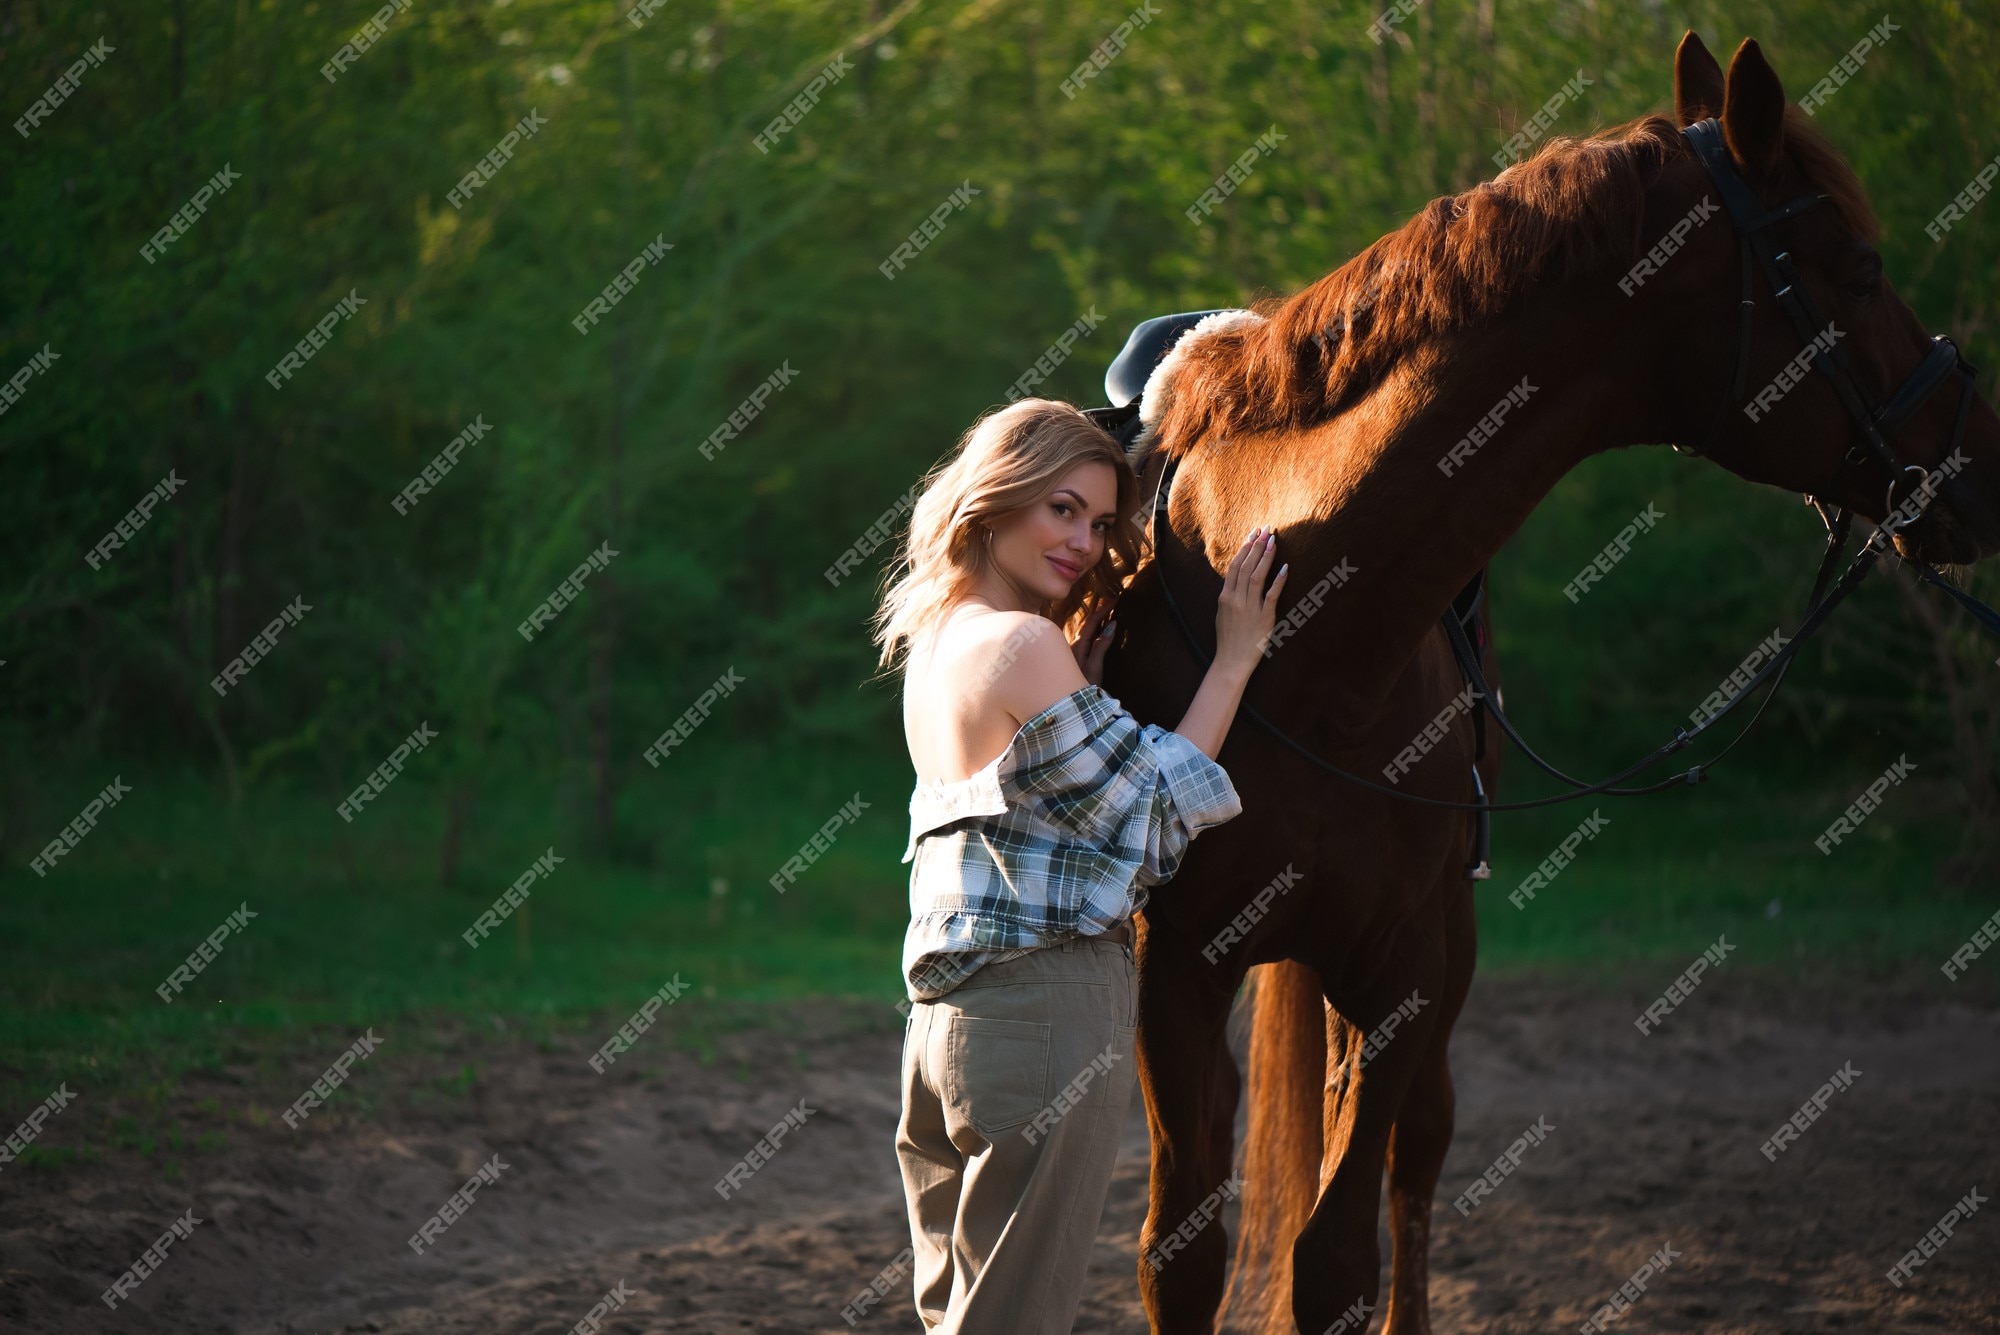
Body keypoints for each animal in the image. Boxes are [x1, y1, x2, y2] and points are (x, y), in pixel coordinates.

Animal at [1104, 28, 2000, 1335]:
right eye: (1859, 263)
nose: (1977, 458)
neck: (1308, 642)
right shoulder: (1173, 971)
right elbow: (1182, 1256)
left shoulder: (1403, 971)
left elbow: (1338, 1253)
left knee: (1415, 1159)